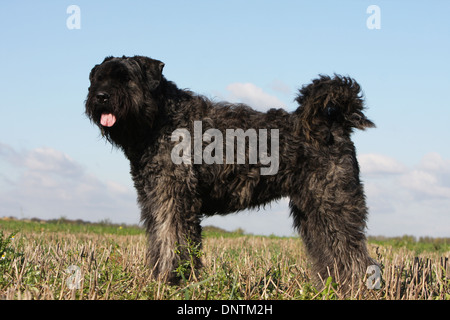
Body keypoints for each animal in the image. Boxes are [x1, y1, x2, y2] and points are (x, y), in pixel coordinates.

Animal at [85, 55, 376, 284]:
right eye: (97, 78)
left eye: (126, 79)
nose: (101, 96)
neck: (159, 120)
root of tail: (331, 122)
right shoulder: (154, 198)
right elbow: (159, 239)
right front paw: (159, 280)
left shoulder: (174, 199)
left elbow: (172, 240)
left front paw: (172, 281)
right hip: (314, 212)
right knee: (331, 254)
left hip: (334, 205)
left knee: (355, 256)